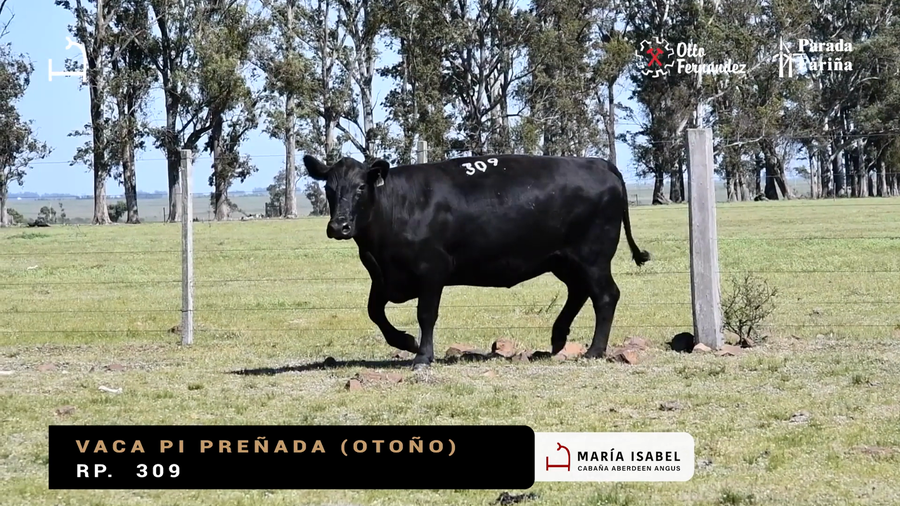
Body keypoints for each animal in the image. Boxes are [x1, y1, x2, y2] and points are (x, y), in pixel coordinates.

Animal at [302, 154, 651, 370]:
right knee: (579, 293)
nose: (339, 226)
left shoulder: (432, 270)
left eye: (361, 187)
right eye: (329, 188)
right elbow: (374, 311)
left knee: (605, 295)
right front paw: (405, 341)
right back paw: (557, 339)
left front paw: (422, 355)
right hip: (565, 260)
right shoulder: (381, 277)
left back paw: (594, 350)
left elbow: (425, 314)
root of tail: (598, 163)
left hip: (593, 257)